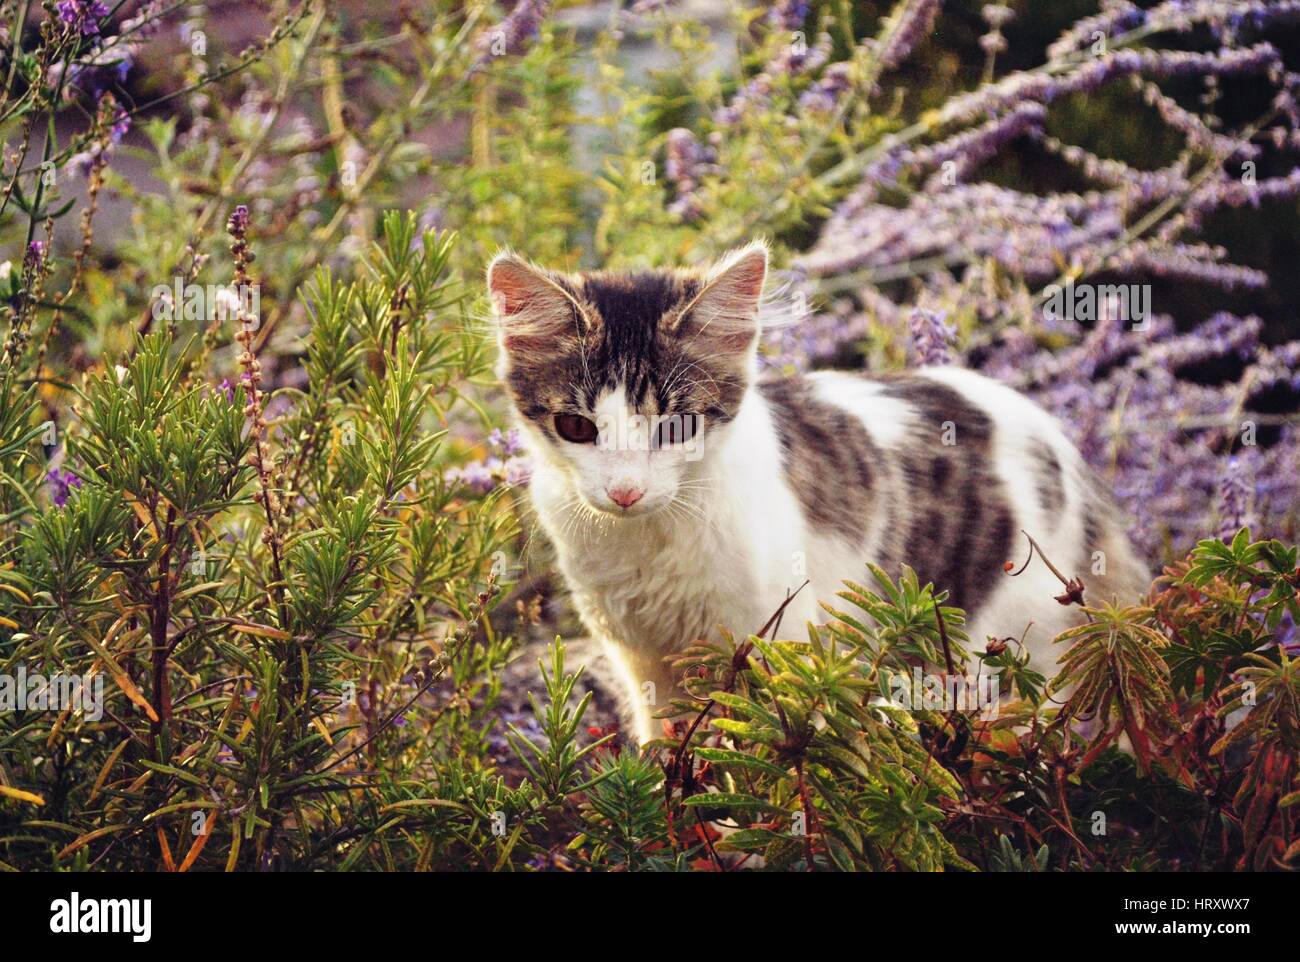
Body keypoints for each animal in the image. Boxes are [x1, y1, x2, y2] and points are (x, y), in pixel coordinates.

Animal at [488, 240, 1149, 743]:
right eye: (577, 428)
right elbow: (667, 746)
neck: (647, 543)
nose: (625, 491)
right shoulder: (641, 658)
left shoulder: (772, 640)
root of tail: (1061, 444)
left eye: (676, 427)